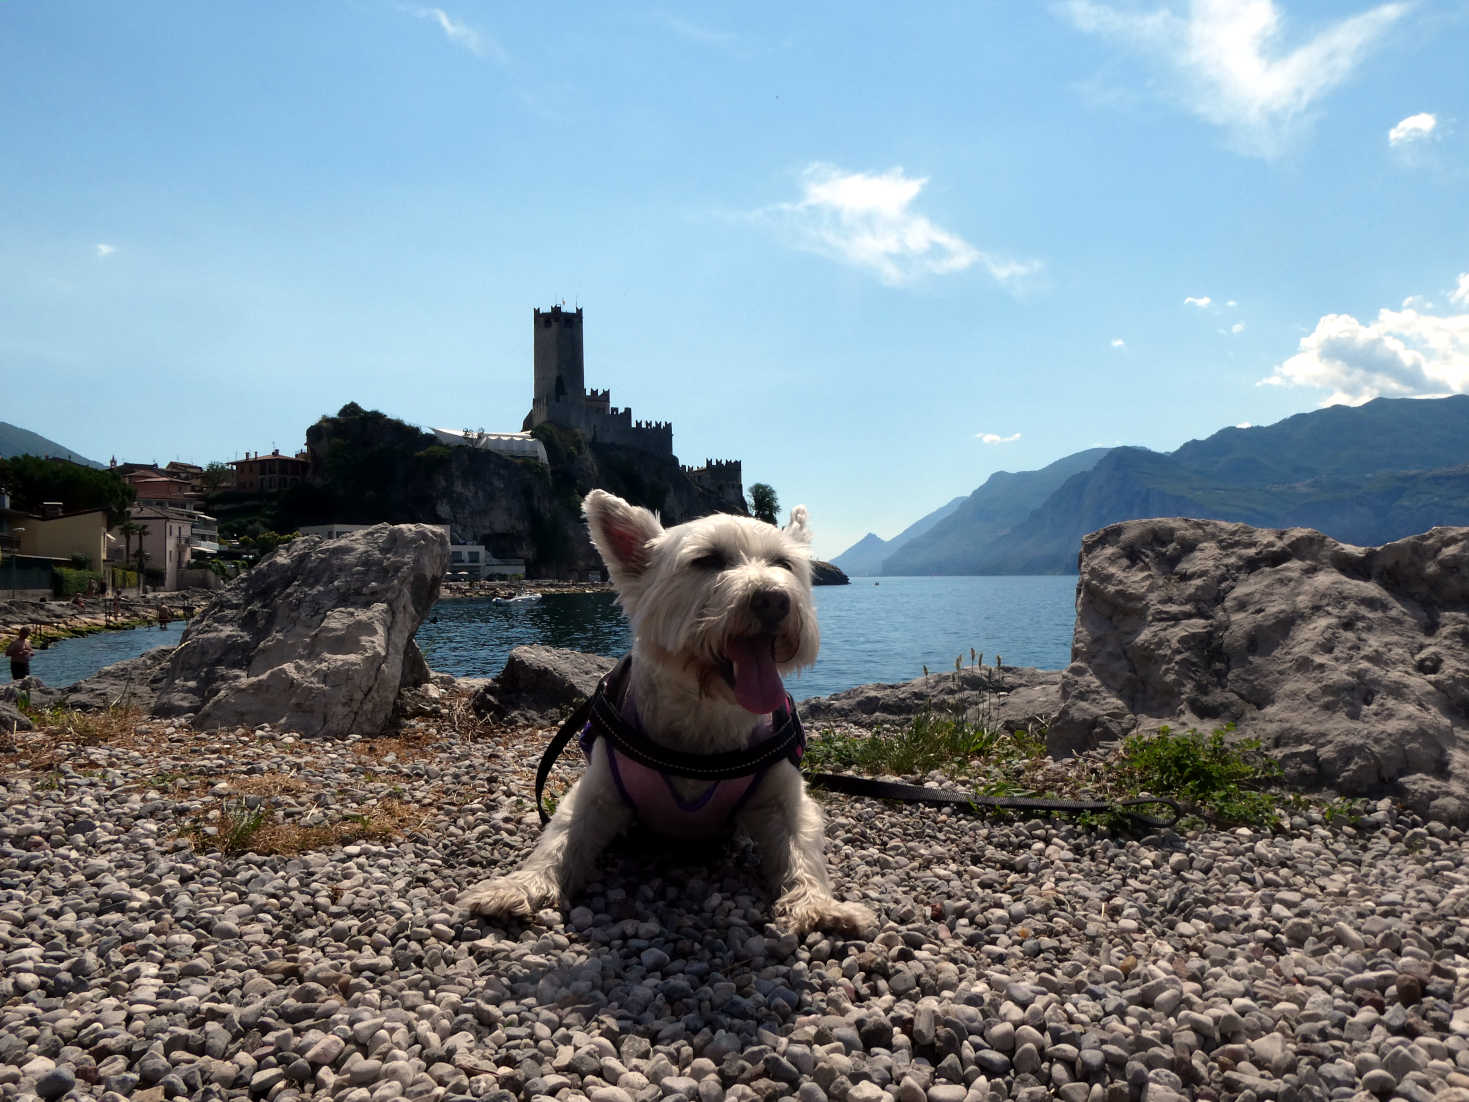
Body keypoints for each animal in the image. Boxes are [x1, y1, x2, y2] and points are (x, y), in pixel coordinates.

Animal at [458, 490, 869, 940]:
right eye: (707, 560)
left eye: (784, 563)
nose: (775, 599)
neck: (703, 715)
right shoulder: (597, 792)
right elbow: (561, 839)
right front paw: (519, 887)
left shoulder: (784, 798)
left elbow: (801, 847)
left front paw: (818, 905)